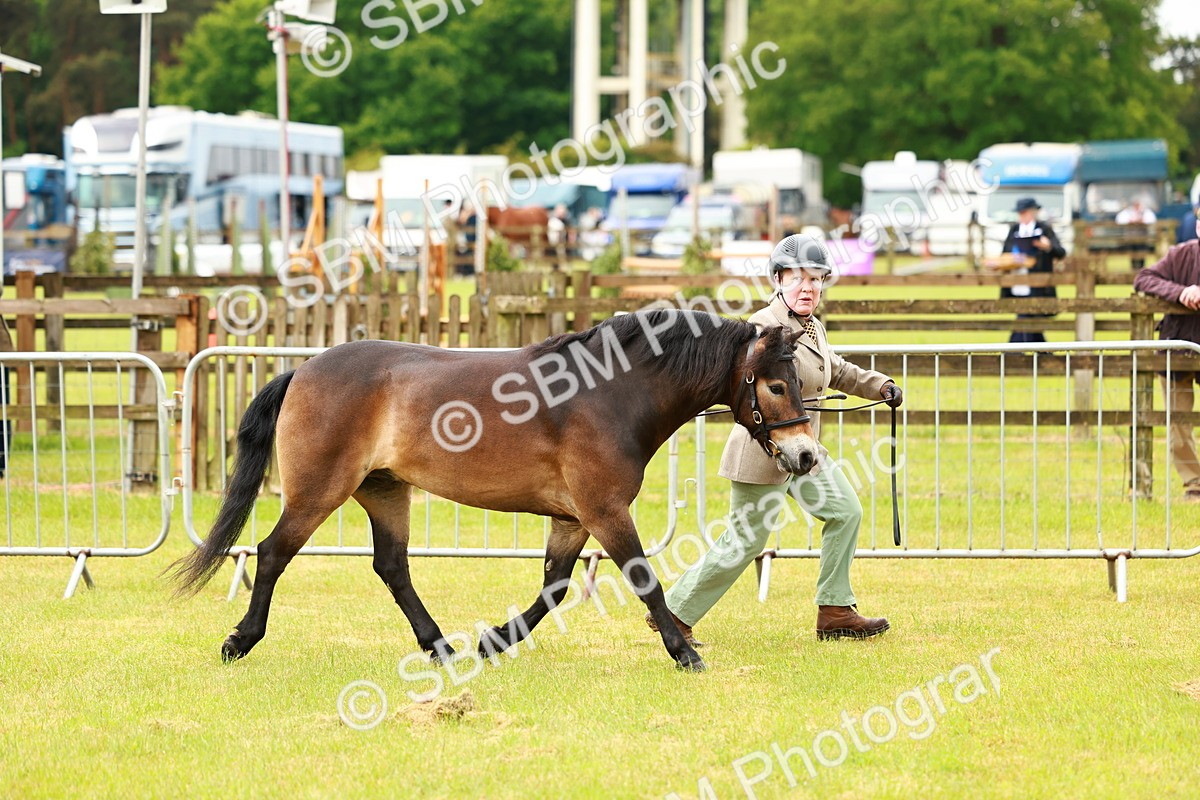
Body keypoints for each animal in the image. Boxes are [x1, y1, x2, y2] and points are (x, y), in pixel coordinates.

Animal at [172, 309, 818, 672]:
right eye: (776, 386)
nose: (807, 456)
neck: (611, 392)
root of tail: (303, 369)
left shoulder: (573, 518)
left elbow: (554, 588)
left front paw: (493, 642)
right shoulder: (605, 511)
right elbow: (645, 580)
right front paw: (685, 654)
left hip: (385, 492)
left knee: (393, 567)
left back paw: (441, 648)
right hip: (318, 492)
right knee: (272, 553)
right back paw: (240, 641)